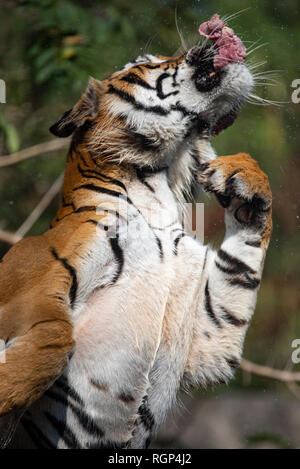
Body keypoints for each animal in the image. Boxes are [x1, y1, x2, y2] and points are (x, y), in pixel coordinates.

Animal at [0, 38, 272, 448]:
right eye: (145, 62)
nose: (208, 41)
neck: (157, 187)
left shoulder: (209, 338)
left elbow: (240, 270)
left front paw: (242, 177)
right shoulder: (36, 274)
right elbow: (56, 336)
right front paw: (8, 387)